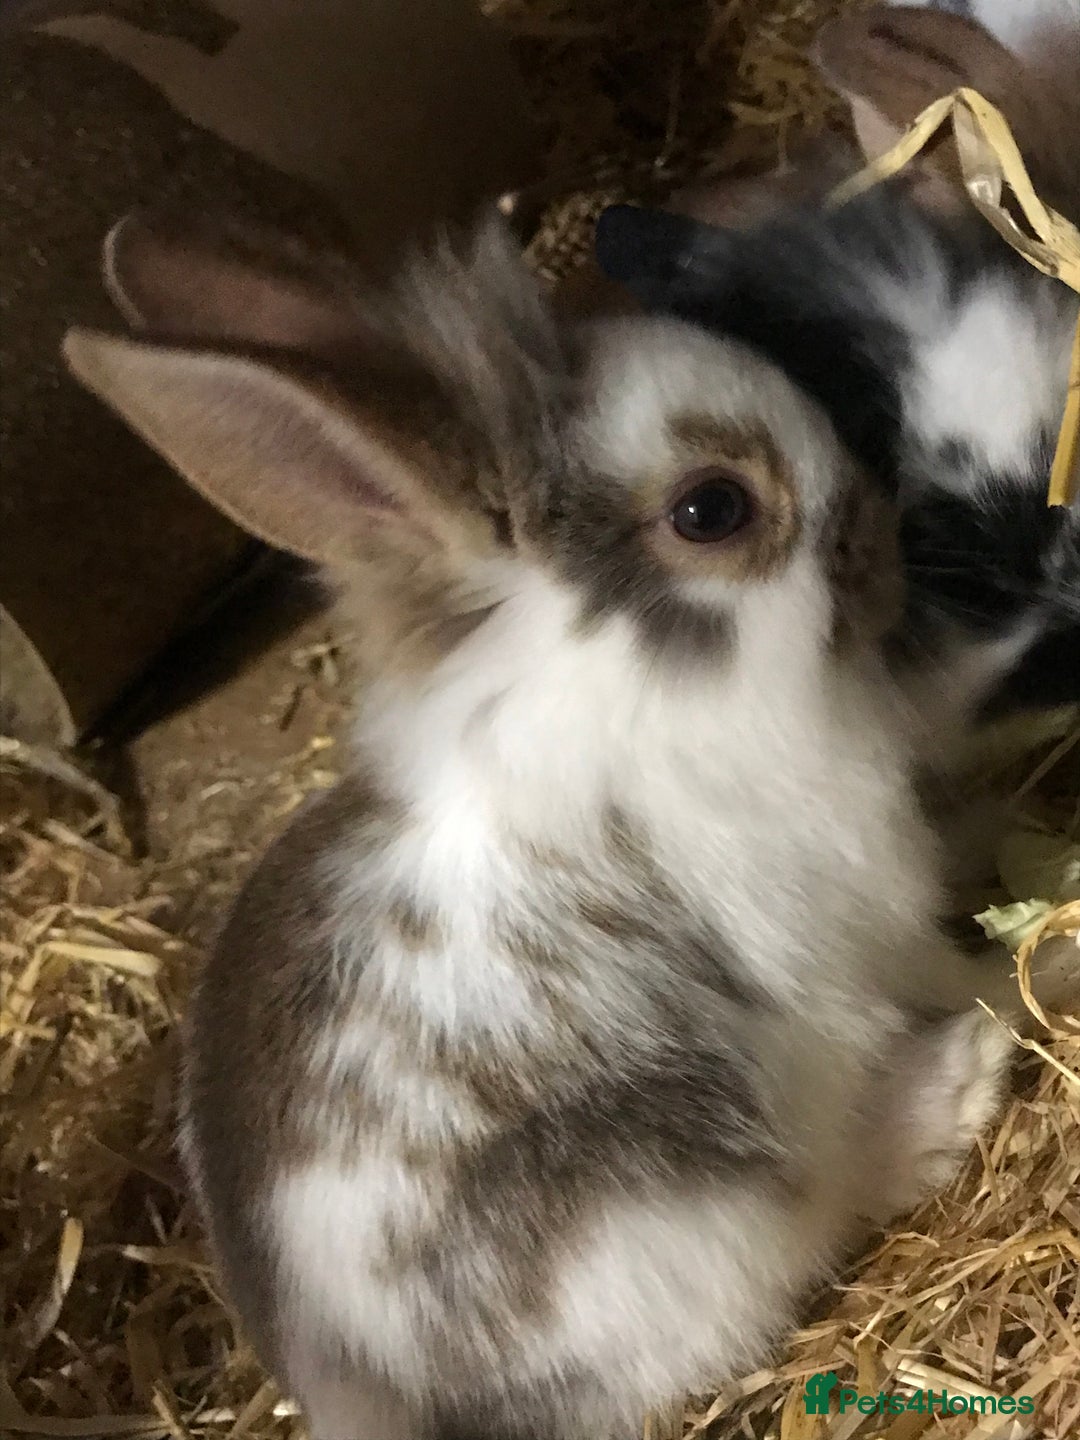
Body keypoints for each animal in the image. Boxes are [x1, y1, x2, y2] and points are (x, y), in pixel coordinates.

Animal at [60, 206, 1045, 1440]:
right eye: (712, 509)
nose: (881, 539)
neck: (627, 689)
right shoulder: (858, 924)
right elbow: (956, 965)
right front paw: (1041, 979)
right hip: (699, 1212)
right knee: (819, 1210)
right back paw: (954, 1087)